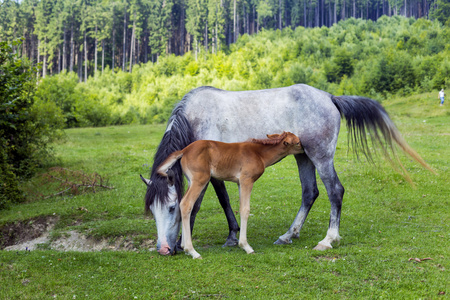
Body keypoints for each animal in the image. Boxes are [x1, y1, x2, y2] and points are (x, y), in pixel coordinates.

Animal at [156, 132, 304, 258]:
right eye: (297, 142)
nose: (304, 149)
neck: (259, 154)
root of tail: (184, 151)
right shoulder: (246, 180)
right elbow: (245, 209)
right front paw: (245, 246)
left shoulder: (239, 183)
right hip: (200, 180)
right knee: (187, 204)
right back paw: (192, 251)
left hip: (191, 181)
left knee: (182, 203)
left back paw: (183, 246)